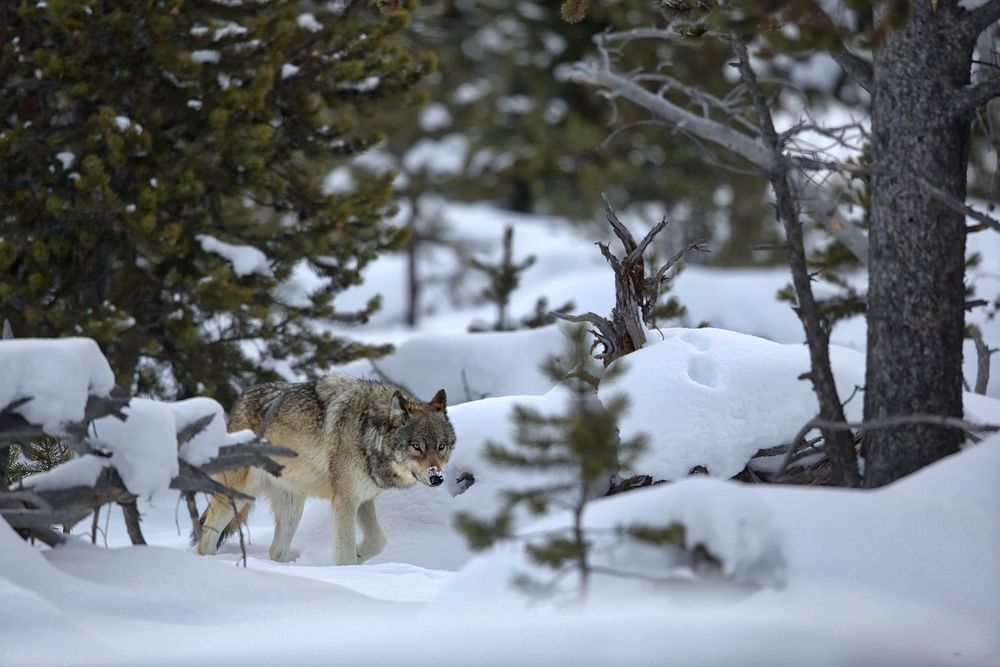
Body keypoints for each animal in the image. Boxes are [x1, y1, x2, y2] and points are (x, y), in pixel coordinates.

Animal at [195, 375, 456, 565]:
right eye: (416, 447)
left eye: (441, 446)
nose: (436, 477)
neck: (368, 432)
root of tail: (239, 400)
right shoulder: (345, 500)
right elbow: (346, 552)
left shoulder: (364, 499)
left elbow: (378, 541)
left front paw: (360, 554)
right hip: (236, 496)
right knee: (205, 541)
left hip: (293, 508)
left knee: (276, 551)